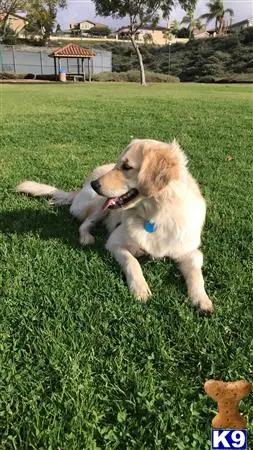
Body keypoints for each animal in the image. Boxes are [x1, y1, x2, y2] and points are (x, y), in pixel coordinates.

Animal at [15, 138, 212, 312]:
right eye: (118, 164)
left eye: (127, 167)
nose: (94, 184)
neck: (156, 216)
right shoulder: (115, 243)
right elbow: (133, 262)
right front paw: (140, 288)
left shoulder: (190, 251)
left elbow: (196, 274)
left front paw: (202, 300)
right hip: (98, 206)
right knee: (84, 223)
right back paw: (86, 237)